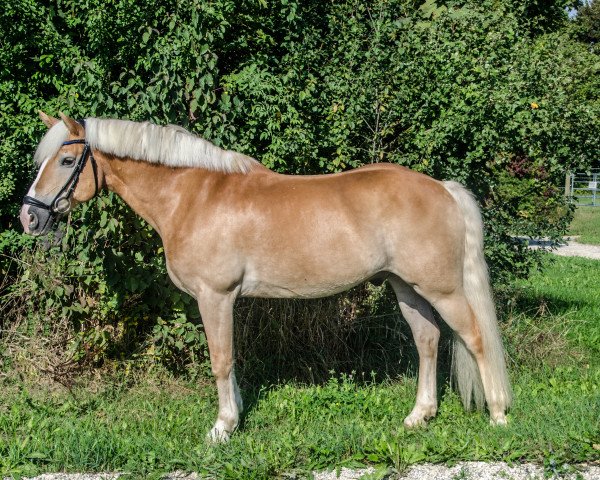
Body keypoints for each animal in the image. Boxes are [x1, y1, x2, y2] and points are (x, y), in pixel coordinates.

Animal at [18, 112, 510, 442]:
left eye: (66, 161)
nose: (28, 217)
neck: (191, 195)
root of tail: (442, 188)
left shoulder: (214, 296)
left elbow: (221, 360)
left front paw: (222, 428)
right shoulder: (221, 299)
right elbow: (230, 361)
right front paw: (233, 417)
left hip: (442, 288)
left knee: (474, 337)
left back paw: (499, 414)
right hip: (406, 286)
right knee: (428, 340)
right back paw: (419, 416)